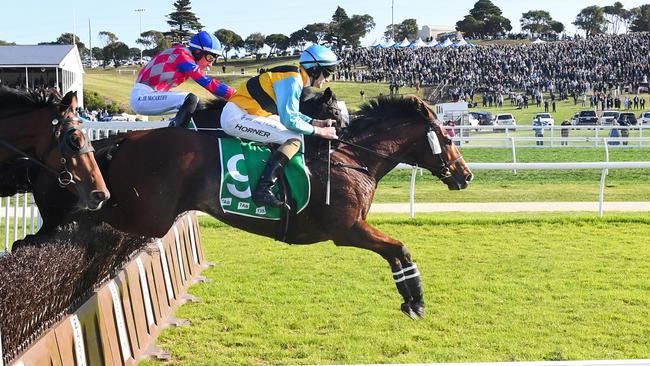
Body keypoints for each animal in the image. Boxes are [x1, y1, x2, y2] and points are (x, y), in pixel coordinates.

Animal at [24, 91, 470, 318]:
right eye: (448, 137)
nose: (464, 174)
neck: (353, 157)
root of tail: (127, 139)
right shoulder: (347, 230)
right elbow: (400, 249)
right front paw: (416, 301)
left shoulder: (354, 229)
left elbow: (398, 252)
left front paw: (411, 298)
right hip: (149, 214)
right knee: (86, 212)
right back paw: (36, 240)